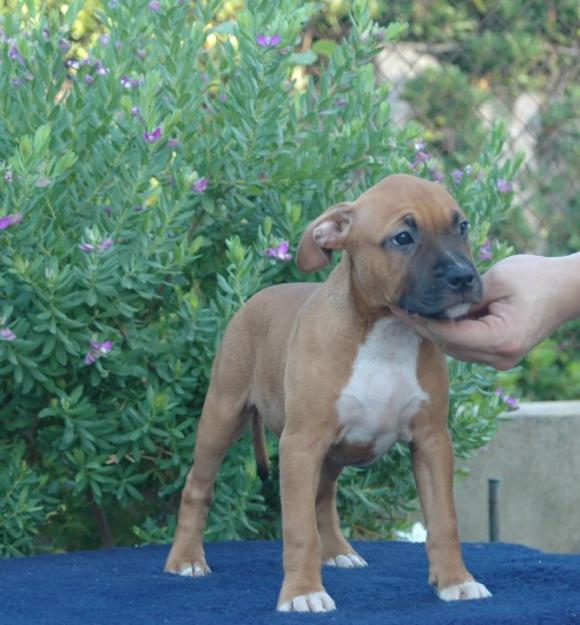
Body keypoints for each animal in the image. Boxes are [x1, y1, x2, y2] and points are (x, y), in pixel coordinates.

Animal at [165, 173, 492, 612]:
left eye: (462, 227)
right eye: (403, 238)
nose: (463, 277)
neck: (386, 332)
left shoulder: (432, 441)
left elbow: (444, 519)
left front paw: (456, 581)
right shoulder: (301, 444)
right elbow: (299, 528)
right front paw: (303, 592)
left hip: (336, 449)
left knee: (323, 494)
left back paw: (337, 551)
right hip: (222, 416)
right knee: (198, 487)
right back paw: (185, 558)